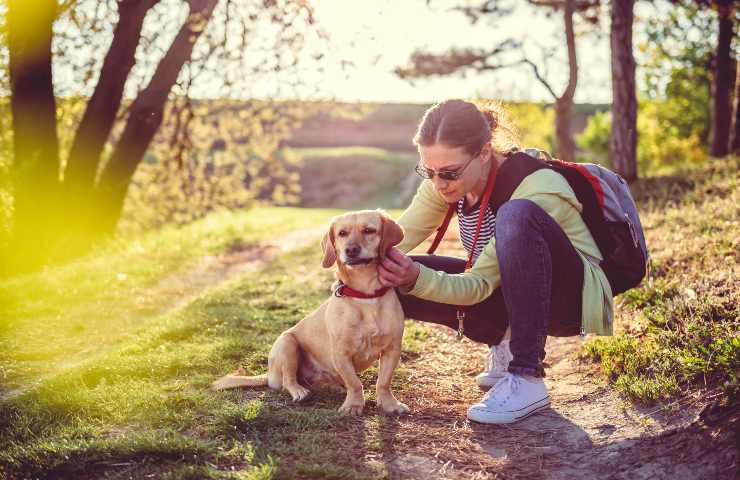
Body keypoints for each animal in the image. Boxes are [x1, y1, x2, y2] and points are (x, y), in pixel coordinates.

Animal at [212, 210, 410, 416]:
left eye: (369, 230)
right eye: (342, 233)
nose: (351, 250)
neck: (365, 295)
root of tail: (269, 375)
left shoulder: (392, 349)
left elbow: (383, 382)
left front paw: (389, 404)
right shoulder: (341, 354)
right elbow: (354, 383)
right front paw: (354, 405)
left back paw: (332, 386)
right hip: (287, 343)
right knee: (288, 380)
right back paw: (300, 391)